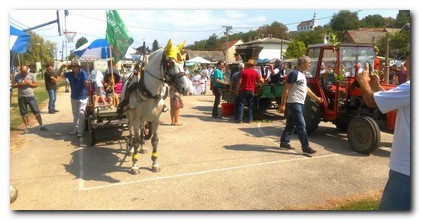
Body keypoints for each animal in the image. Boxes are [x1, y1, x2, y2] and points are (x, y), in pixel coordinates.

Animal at [121, 39, 187, 174]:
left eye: (183, 63)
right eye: (169, 63)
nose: (185, 88)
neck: (149, 92)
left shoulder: (156, 120)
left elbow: (155, 140)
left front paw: (155, 163)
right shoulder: (136, 119)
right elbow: (135, 140)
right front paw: (135, 165)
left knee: (142, 130)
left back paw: (142, 147)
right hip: (130, 116)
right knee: (131, 131)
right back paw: (131, 150)